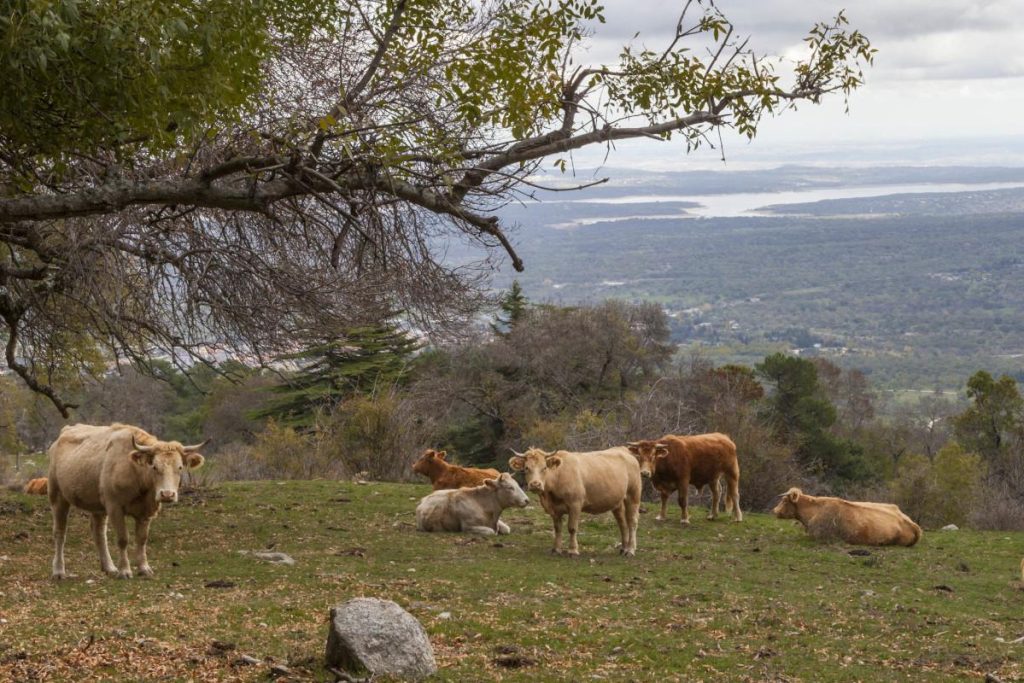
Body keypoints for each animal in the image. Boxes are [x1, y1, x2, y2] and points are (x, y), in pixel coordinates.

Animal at [46, 423, 207, 581]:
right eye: (154, 466)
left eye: (179, 467)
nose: (167, 494)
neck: (136, 473)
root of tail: (65, 431)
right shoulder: (115, 508)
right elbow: (123, 539)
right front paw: (124, 570)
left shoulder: (145, 512)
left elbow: (142, 539)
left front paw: (144, 568)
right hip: (58, 497)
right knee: (60, 533)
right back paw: (59, 571)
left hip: (98, 507)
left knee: (99, 533)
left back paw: (109, 567)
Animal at [505, 448, 638, 557]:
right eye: (526, 468)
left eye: (544, 468)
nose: (535, 484)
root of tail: (624, 451)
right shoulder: (554, 510)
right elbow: (557, 528)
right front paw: (556, 549)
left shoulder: (575, 504)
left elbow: (572, 528)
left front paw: (573, 550)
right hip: (617, 502)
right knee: (622, 523)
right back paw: (623, 548)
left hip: (633, 495)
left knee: (632, 522)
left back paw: (630, 550)